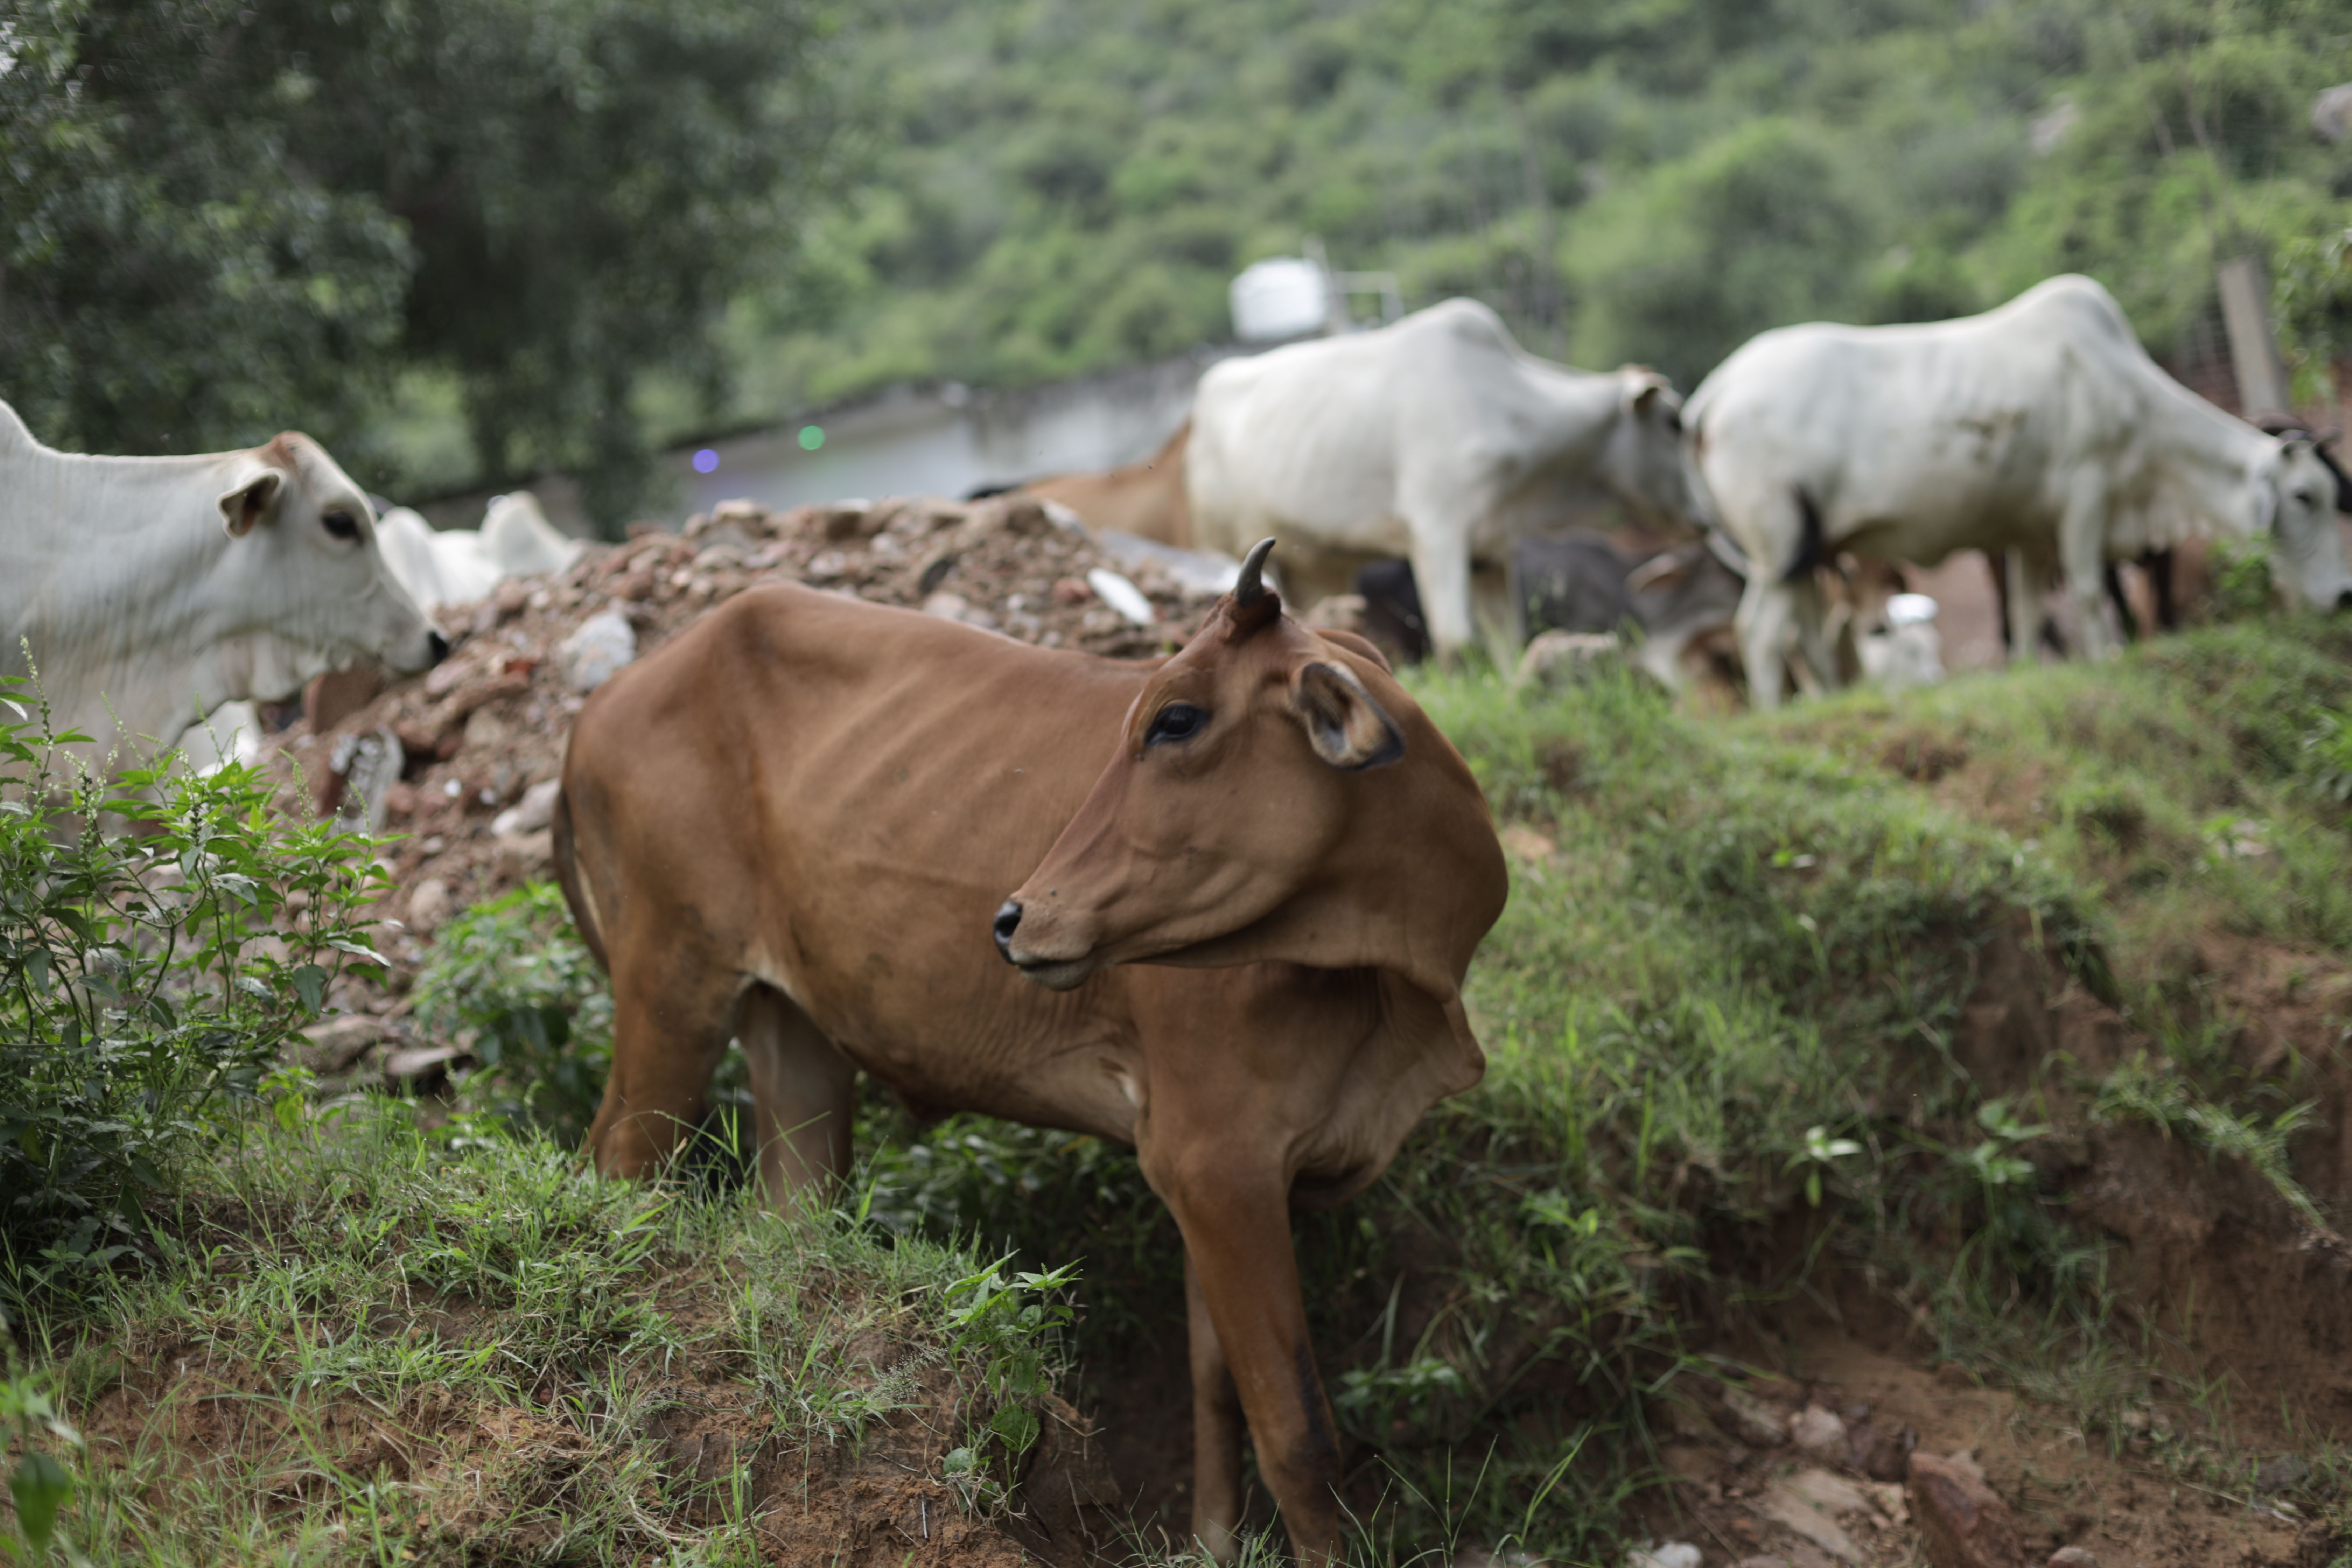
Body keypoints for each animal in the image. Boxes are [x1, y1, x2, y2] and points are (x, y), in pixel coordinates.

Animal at [553, 543, 1507, 1562]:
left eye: (1177, 718)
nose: (1015, 920)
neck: (1397, 982)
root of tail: (602, 707)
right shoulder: (1213, 1158)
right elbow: (1298, 1433)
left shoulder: (1222, 1178)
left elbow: (1218, 1389)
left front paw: (1210, 1542)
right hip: (672, 990)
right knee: (620, 1165)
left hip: (791, 1036)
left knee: (790, 1223)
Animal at [1186, 298, 1709, 663]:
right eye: (1674, 423)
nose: (1704, 518)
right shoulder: (1437, 534)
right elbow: (1458, 643)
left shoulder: (1492, 552)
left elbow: (1507, 643)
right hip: (1227, 545)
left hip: (1316, 566)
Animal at [1687, 274, 2352, 709]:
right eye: (2304, 497)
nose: (2344, 595)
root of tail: (1714, 394)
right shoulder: (2087, 498)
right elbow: (2088, 593)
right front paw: (2105, 661)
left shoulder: (2030, 535)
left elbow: (2028, 614)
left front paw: (2033, 672)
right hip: (1778, 553)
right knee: (1760, 636)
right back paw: (1776, 716)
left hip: (1807, 556)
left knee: (1808, 639)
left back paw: (1827, 702)